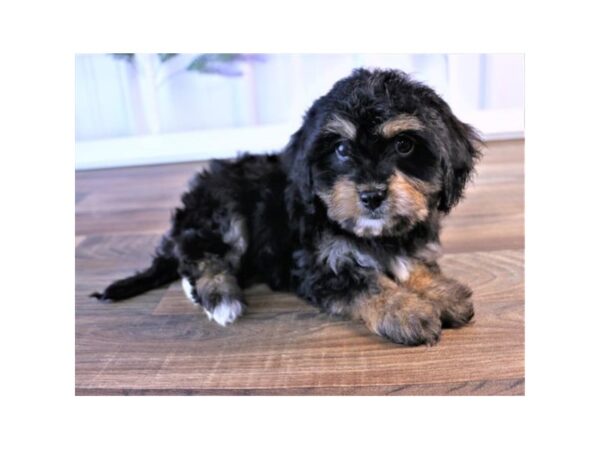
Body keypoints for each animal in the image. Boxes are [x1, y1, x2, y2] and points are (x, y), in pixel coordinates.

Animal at [91, 68, 480, 346]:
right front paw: (406, 312)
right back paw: (219, 297)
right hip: (222, 211)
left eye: (403, 145)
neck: (376, 235)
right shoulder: (318, 265)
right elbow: (366, 284)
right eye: (341, 149)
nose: (371, 196)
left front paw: (442, 293)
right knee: (200, 256)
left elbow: (414, 264)